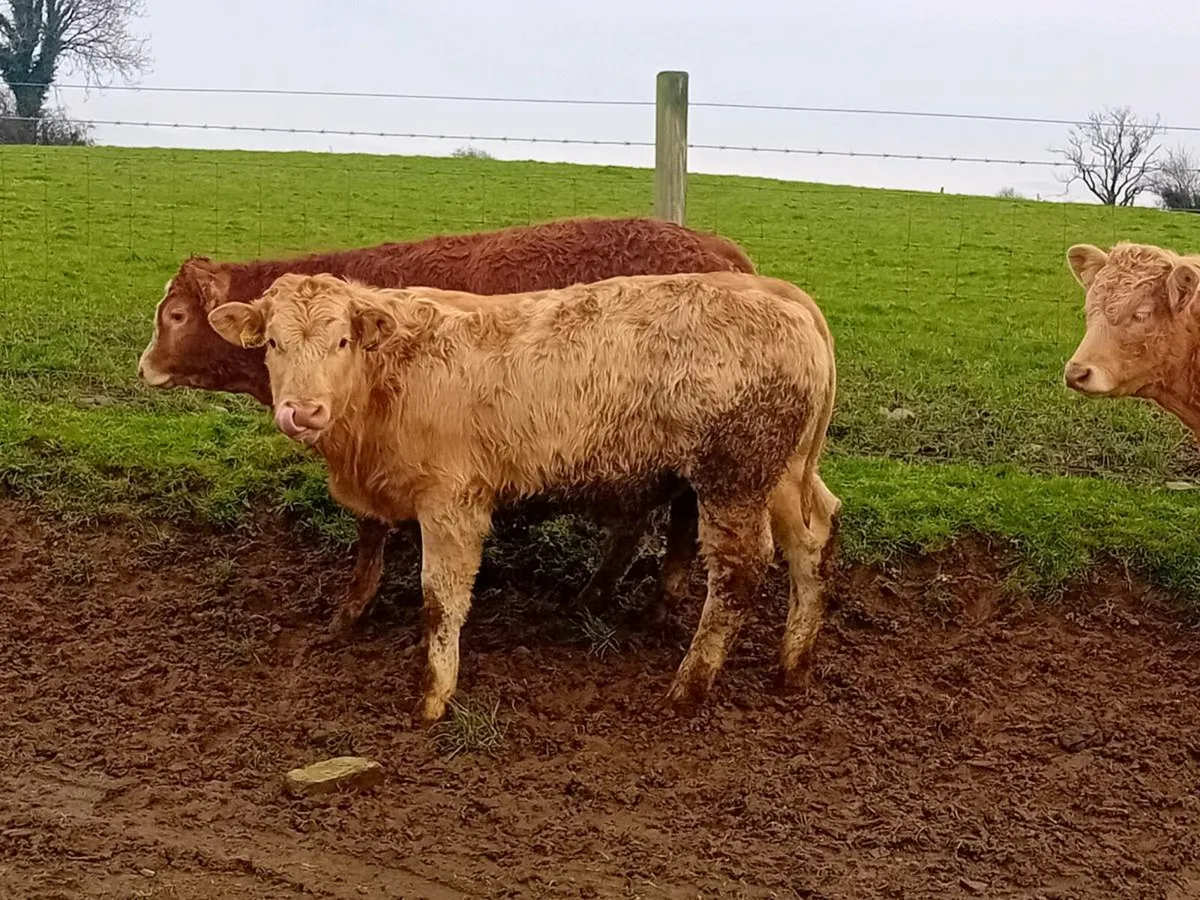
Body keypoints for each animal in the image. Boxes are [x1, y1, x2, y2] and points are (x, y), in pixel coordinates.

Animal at [206, 270, 840, 724]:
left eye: (341, 340)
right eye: (272, 343)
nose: (304, 411)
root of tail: (784, 298)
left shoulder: (453, 503)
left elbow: (440, 600)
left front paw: (433, 695)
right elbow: (368, 550)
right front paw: (347, 616)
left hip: (734, 476)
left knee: (739, 571)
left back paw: (689, 686)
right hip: (781, 475)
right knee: (812, 543)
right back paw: (793, 663)